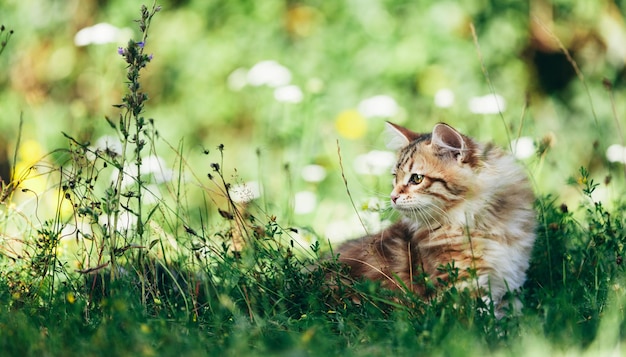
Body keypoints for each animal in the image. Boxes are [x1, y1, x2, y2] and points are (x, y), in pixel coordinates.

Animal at [334, 121, 532, 314]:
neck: (480, 224)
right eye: (395, 177)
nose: (392, 196)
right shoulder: (461, 291)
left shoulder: (508, 286)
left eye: (417, 178)